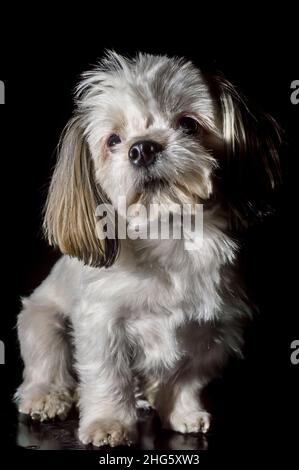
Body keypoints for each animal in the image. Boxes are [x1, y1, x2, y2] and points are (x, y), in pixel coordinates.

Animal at [15, 51, 282, 448]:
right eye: (113, 140)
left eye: (188, 125)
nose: (142, 147)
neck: (170, 236)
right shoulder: (102, 323)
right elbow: (108, 377)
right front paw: (109, 423)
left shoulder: (213, 330)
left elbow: (188, 377)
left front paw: (182, 411)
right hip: (42, 322)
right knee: (46, 364)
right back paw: (45, 397)